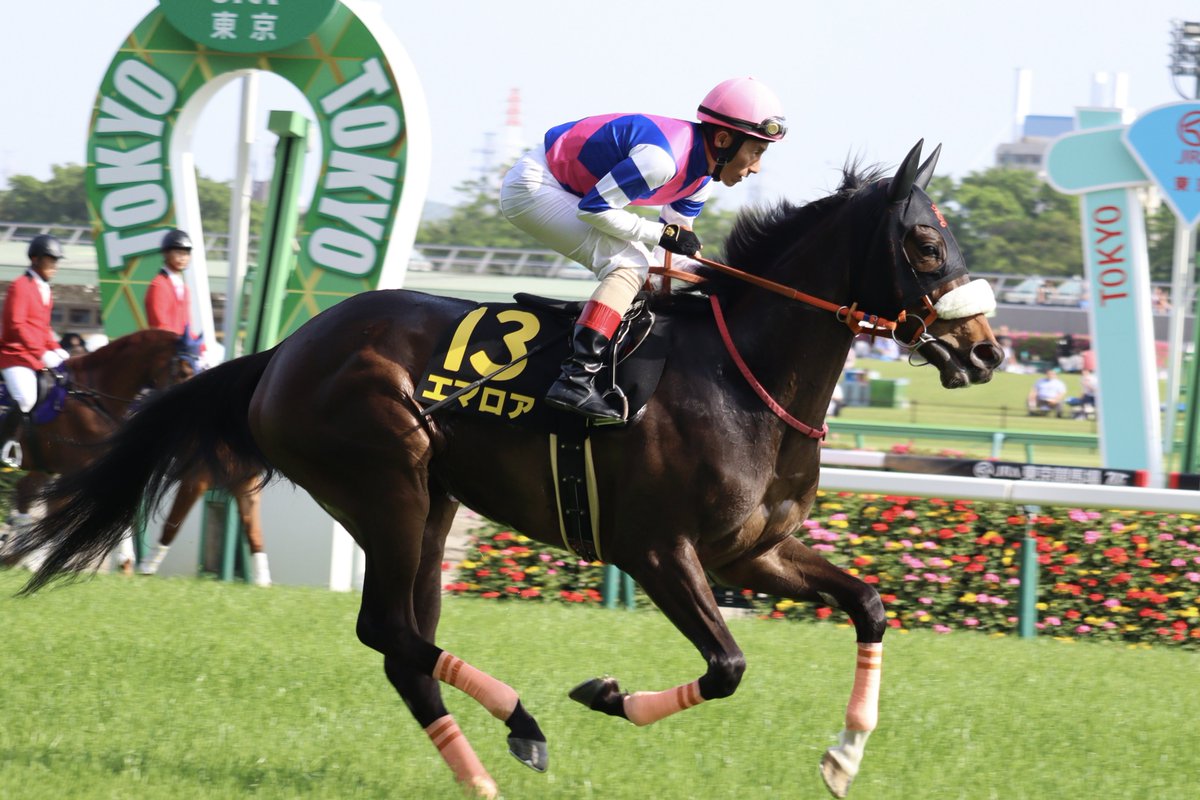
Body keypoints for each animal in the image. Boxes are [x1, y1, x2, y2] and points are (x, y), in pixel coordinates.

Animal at [9, 140, 1003, 796]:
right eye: (924, 244)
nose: (987, 350)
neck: (740, 373)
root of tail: (283, 352)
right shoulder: (658, 551)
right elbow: (726, 665)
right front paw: (605, 693)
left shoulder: (750, 551)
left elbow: (868, 603)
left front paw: (845, 755)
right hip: (387, 482)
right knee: (391, 633)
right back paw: (522, 722)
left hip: (434, 505)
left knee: (401, 647)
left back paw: (483, 773)